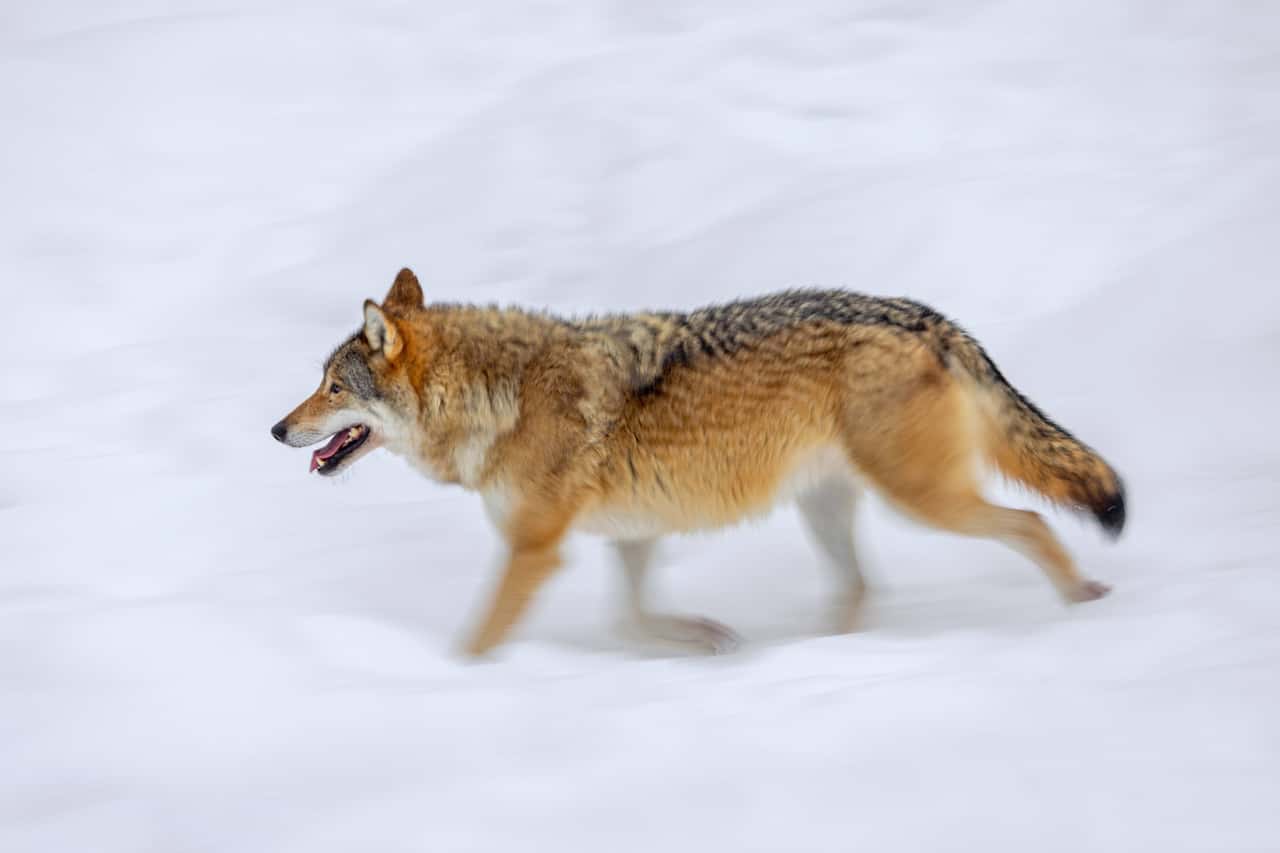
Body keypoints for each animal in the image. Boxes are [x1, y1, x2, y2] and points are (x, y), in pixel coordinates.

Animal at [271, 268, 1125, 656]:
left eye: (331, 387)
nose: (278, 429)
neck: (497, 394)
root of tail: (928, 318)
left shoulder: (535, 548)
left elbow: (479, 637)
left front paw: (453, 677)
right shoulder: (632, 533)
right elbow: (630, 616)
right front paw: (705, 637)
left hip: (923, 500)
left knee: (1030, 522)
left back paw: (1082, 602)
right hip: (831, 507)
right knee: (859, 586)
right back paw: (821, 653)